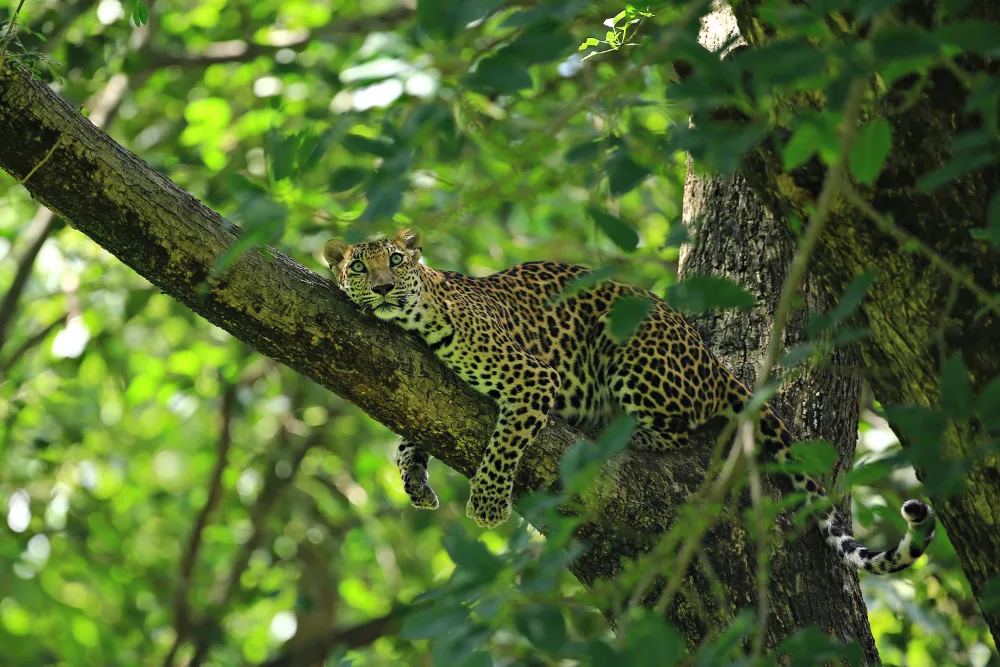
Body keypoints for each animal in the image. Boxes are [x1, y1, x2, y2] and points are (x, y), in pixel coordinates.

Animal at [323, 226, 935, 575]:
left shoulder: (534, 377)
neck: (412, 321)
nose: (381, 288)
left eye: (395, 262)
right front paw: (415, 480)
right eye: (357, 266)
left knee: (675, 427)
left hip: (629, 342)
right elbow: (409, 436)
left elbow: (503, 445)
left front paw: (489, 504)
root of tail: (711, 359)